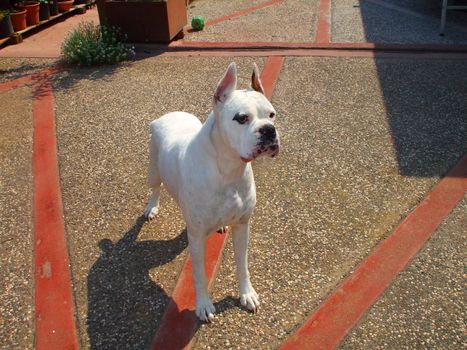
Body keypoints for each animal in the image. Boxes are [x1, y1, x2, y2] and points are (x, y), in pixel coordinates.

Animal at [144, 62, 280, 320]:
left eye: (271, 115)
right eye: (242, 118)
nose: (269, 130)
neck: (228, 169)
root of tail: (169, 115)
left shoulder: (242, 226)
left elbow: (242, 264)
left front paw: (247, 294)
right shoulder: (196, 238)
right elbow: (198, 275)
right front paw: (203, 305)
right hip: (154, 170)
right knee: (156, 188)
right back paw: (151, 207)